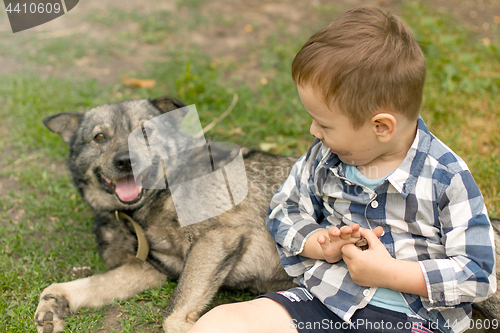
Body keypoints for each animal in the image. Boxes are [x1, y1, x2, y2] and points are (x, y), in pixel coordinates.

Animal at [34, 96, 296, 332]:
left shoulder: (217, 236)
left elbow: (172, 318)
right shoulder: (153, 268)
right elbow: (90, 284)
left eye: (145, 131)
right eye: (100, 137)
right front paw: (55, 302)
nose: (125, 161)